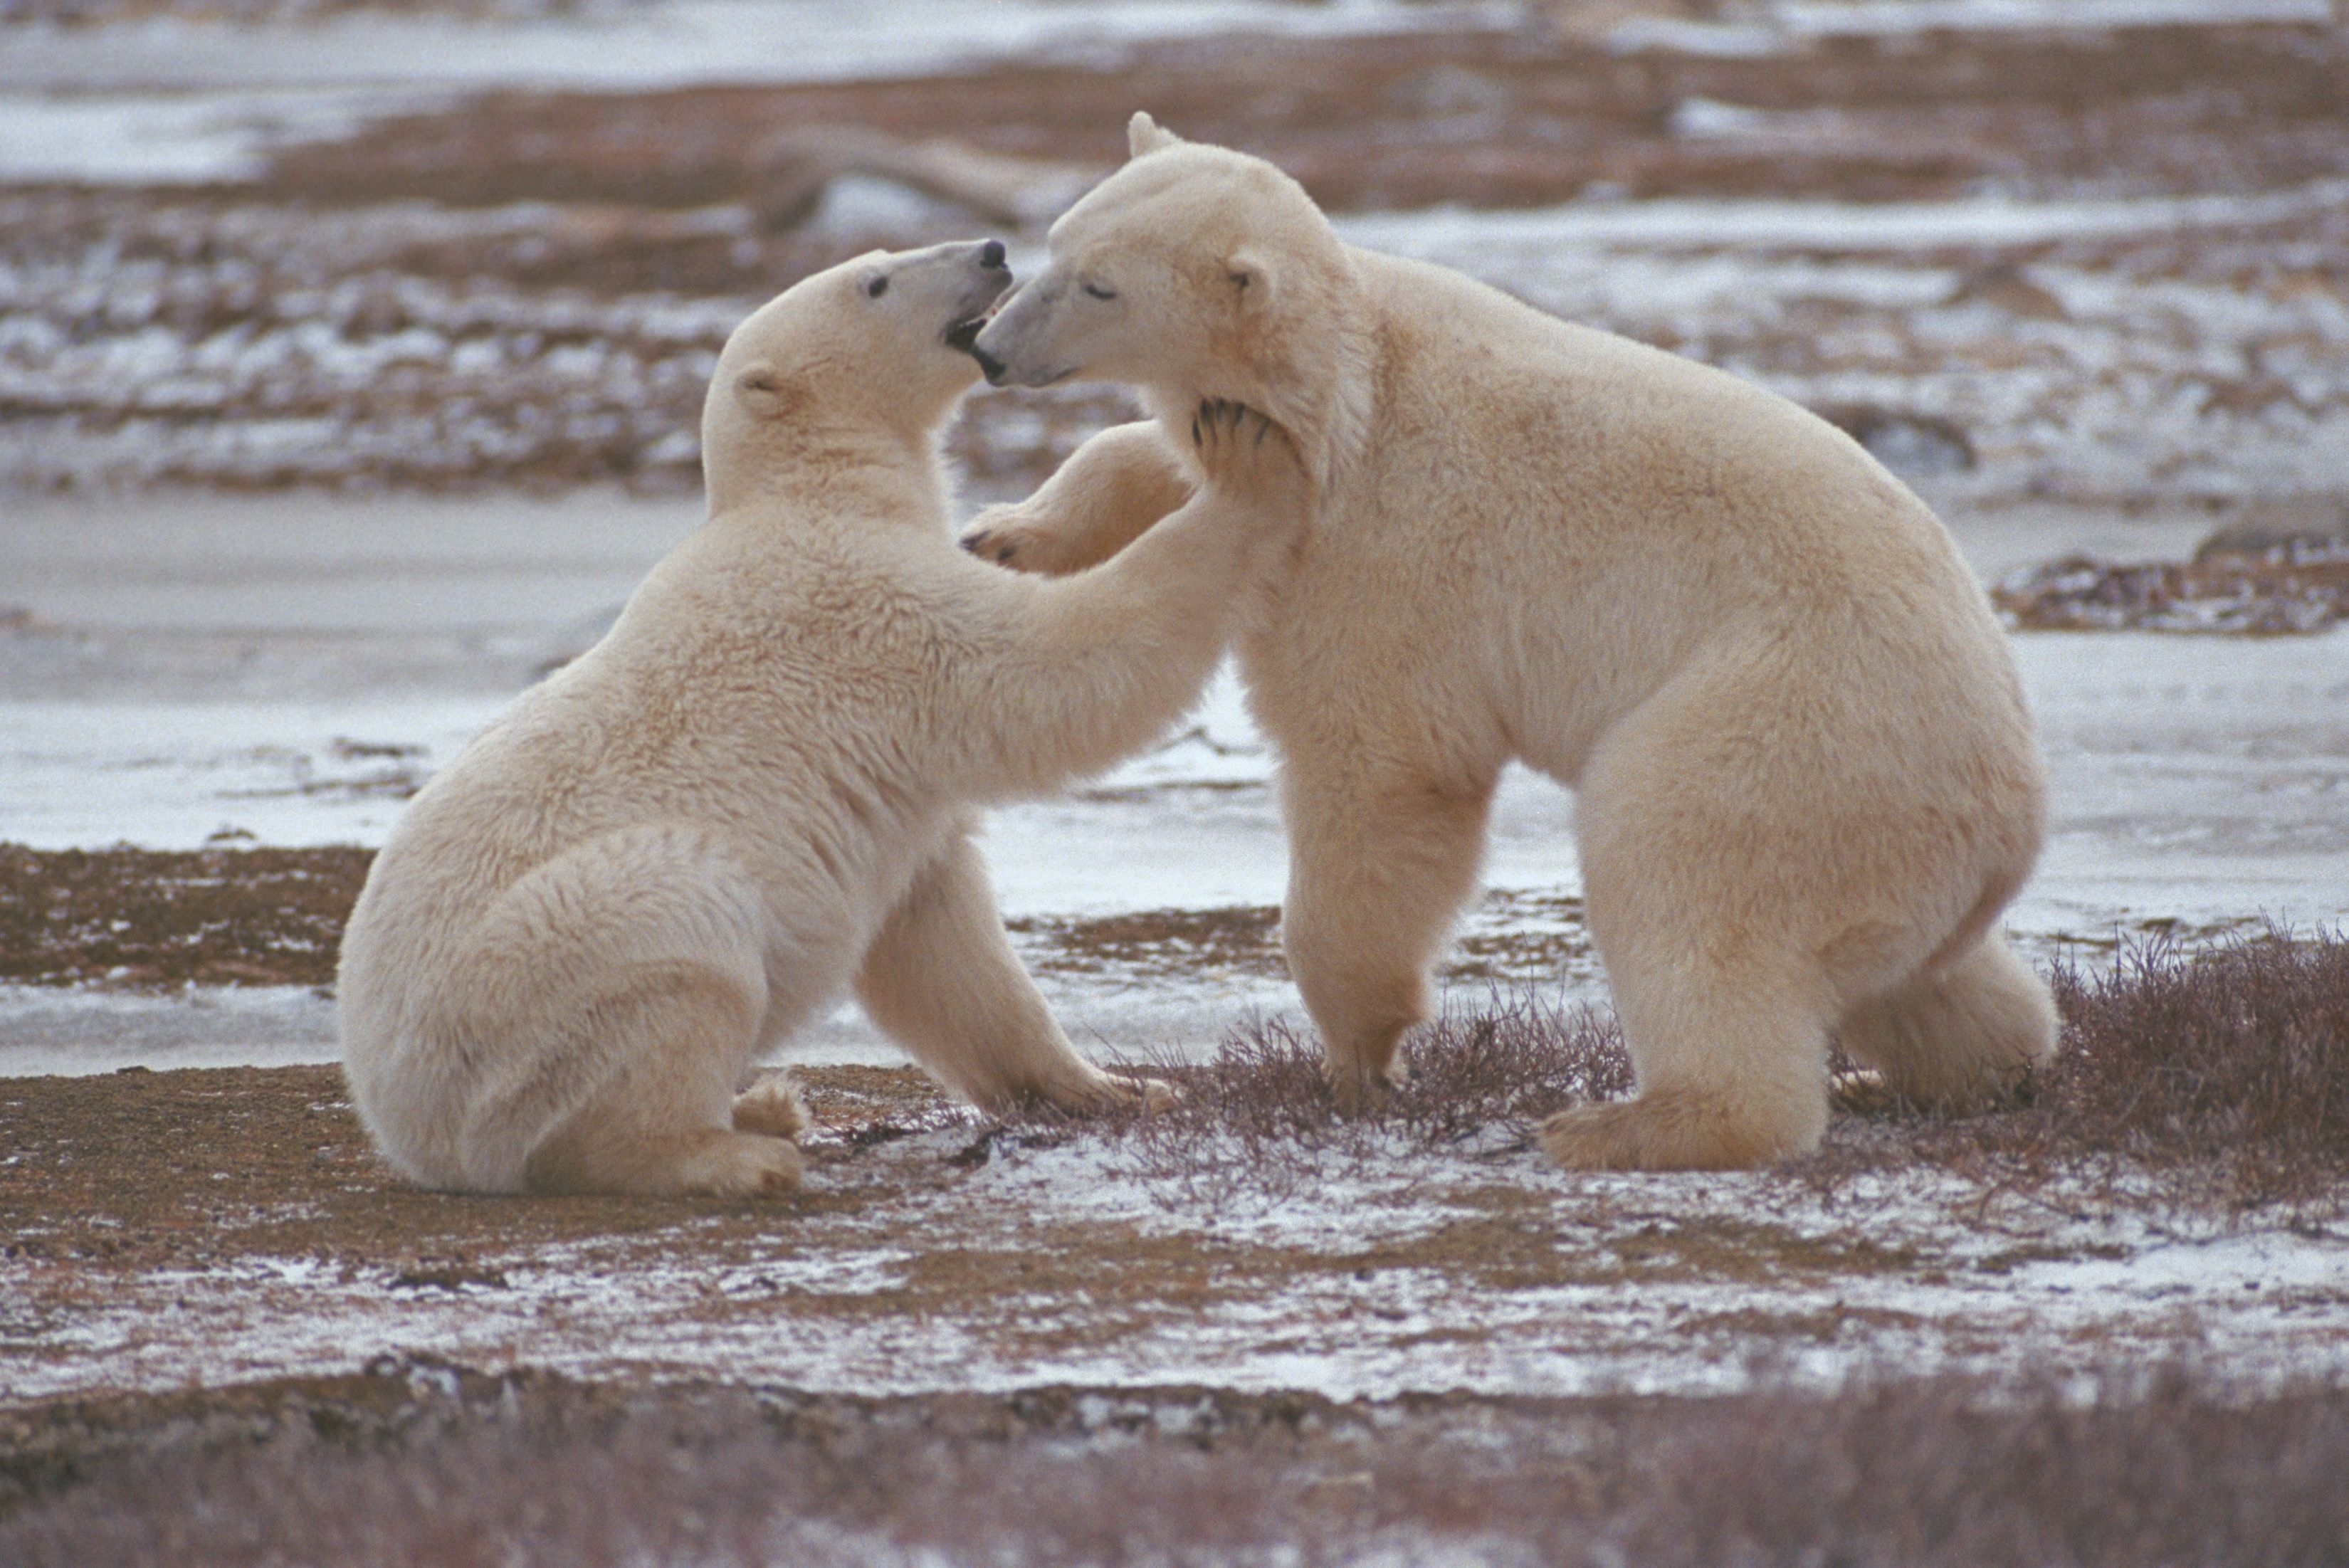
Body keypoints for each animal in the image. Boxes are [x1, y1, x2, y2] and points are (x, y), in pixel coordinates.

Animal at [338, 241, 1305, 1201]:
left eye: (881, 258)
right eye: (874, 281)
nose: (992, 251)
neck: (810, 489)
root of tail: (403, 1123)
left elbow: (943, 945)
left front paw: (1121, 1087)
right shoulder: (866, 607)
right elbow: (1060, 668)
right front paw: (1243, 463)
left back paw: (764, 1106)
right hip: (541, 981)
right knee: (677, 945)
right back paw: (737, 1150)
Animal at [958, 120, 2057, 1164]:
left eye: (1100, 284)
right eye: (1055, 243)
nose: (990, 349)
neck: (1344, 383)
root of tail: (2011, 821)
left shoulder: (1384, 550)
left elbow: (1382, 774)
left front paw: (1360, 1055)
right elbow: (1164, 465)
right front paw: (1004, 533)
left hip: (1796, 735)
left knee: (1681, 871)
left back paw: (1629, 1123)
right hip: (1895, 848)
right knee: (1923, 975)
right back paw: (1951, 1071)